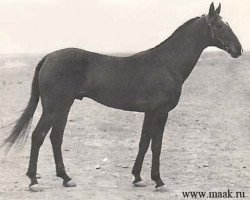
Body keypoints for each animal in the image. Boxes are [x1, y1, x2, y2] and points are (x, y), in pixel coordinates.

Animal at [0, 2, 242, 191]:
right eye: (219, 25)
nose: (238, 49)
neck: (167, 64)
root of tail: (49, 57)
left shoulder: (149, 113)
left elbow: (144, 143)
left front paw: (138, 178)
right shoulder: (160, 112)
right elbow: (156, 145)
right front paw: (158, 181)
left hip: (63, 107)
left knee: (55, 138)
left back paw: (66, 178)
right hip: (52, 107)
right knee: (38, 136)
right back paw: (34, 181)